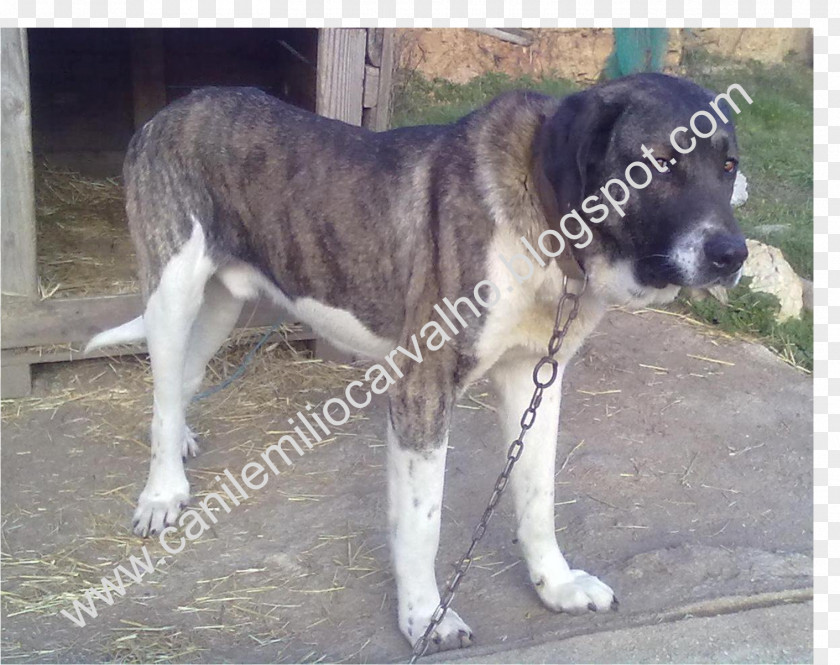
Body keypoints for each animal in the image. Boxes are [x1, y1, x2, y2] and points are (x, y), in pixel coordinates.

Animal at [87, 74, 748, 652]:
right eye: (660, 163)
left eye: (728, 166)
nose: (733, 255)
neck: (542, 221)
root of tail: (173, 110)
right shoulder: (420, 389)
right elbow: (422, 523)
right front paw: (424, 618)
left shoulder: (536, 378)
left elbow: (538, 497)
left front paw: (555, 586)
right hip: (173, 290)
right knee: (162, 386)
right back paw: (162, 492)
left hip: (223, 303)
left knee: (182, 381)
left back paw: (180, 450)